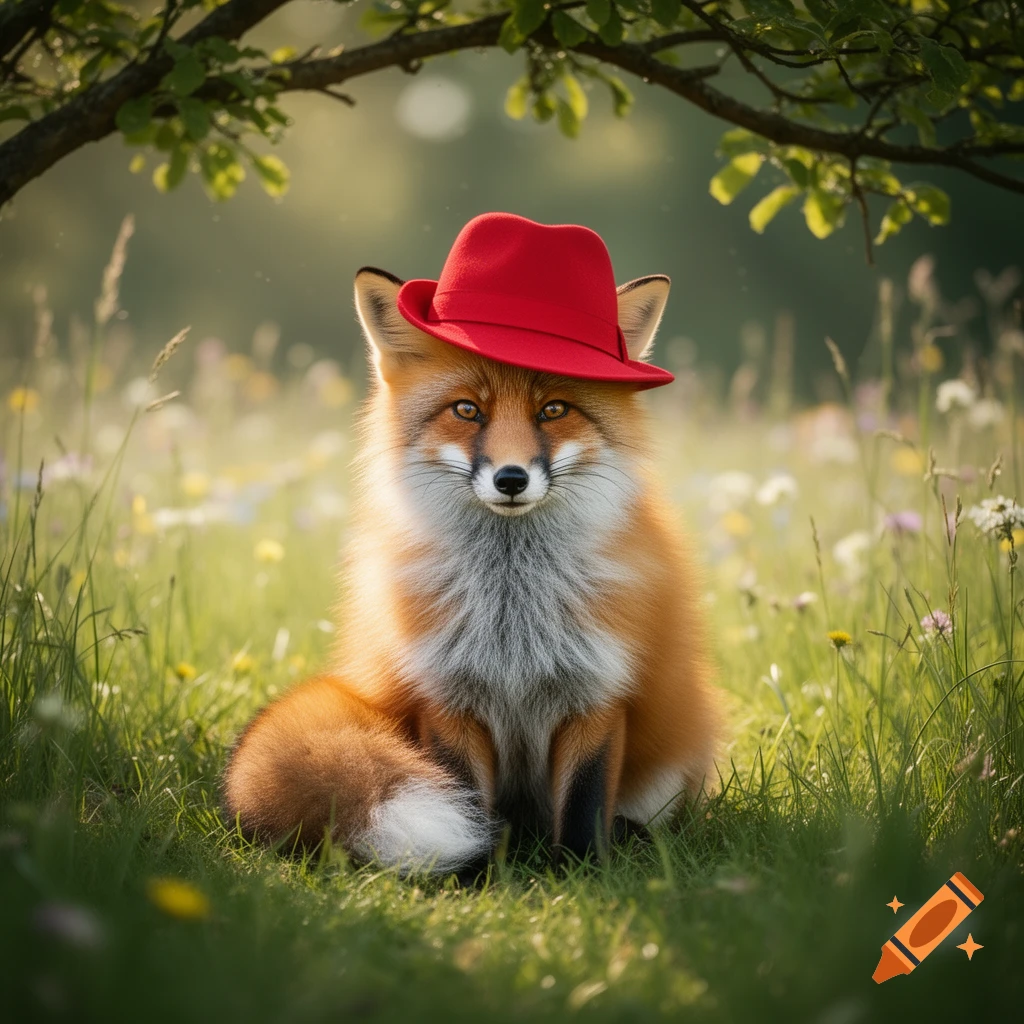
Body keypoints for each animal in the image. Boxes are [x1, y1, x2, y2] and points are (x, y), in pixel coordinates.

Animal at [222, 247, 719, 874]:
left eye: (553, 409)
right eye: (466, 410)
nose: (511, 478)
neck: (512, 612)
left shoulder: (597, 695)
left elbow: (584, 806)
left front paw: (583, 875)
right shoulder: (449, 698)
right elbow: (465, 800)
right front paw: (477, 873)